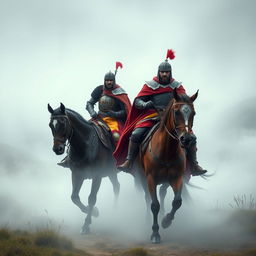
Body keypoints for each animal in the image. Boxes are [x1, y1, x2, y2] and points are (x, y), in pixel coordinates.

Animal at [47, 102, 120, 234]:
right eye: (51, 125)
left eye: (63, 123)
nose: (57, 149)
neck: (86, 145)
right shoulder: (77, 174)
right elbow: (74, 197)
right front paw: (95, 213)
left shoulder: (97, 176)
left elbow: (91, 198)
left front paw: (86, 225)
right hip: (111, 172)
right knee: (117, 187)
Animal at [136, 89, 198, 243]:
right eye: (176, 112)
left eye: (193, 113)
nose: (187, 139)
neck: (166, 151)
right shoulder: (150, 179)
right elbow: (154, 205)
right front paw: (155, 233)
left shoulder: (177, 178)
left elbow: (177, 202)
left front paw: (166, 221)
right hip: (142, 177)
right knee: (148, 198)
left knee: (163, 193)